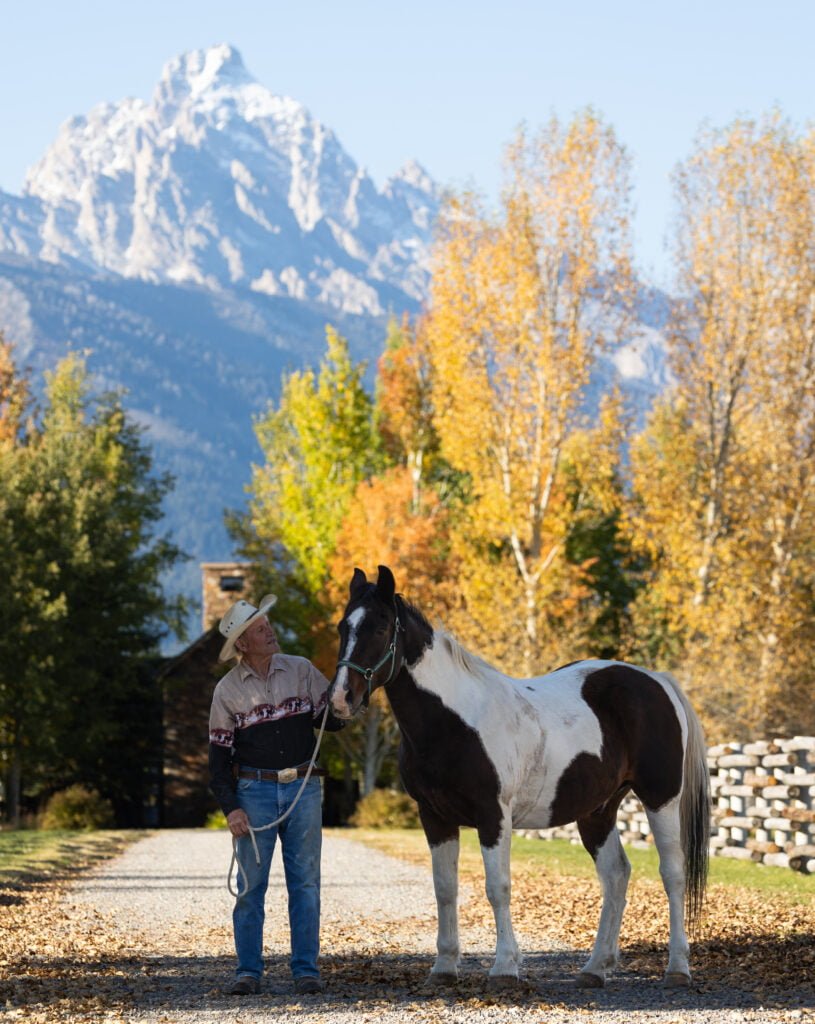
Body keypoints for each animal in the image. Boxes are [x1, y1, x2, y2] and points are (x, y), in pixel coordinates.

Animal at [327, 565, 708, 987]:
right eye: (343, 627)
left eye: (380, 627)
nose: (340, 700)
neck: (454, 721)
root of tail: (656, 680)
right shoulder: (434, 817)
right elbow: (445, 889)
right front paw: (443, 967)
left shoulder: (493, 816)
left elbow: (498, 887)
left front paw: (505, 968)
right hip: (598, 811)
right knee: (616, 874)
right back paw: (595, 968)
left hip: (661, 799)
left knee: (672, 873)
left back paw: (678, 968)